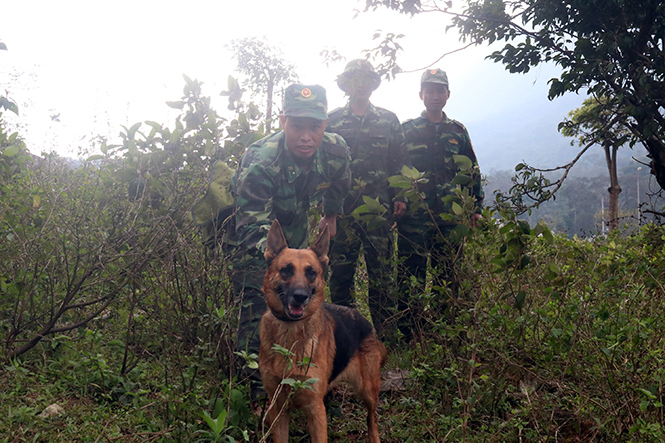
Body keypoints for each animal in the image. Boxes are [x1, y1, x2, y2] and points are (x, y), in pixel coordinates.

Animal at [258, 220, 384, 442]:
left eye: (311, 272)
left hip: (368, 390)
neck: (290, 333)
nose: (300, 296)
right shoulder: (278, 410)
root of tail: (363, 319)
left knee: (372, 418)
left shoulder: (315, 410)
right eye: (286, 270)